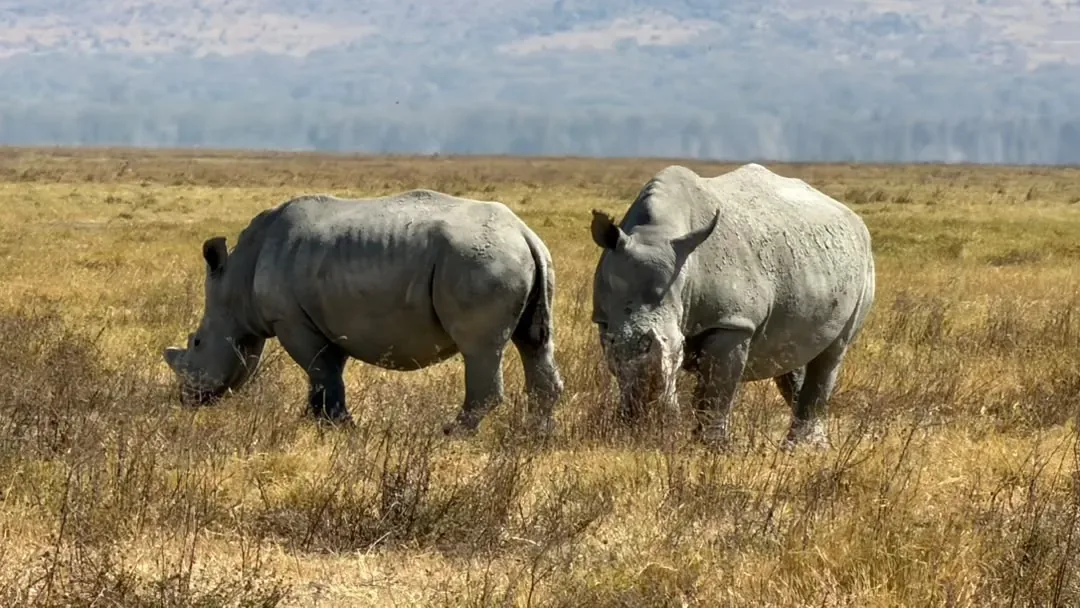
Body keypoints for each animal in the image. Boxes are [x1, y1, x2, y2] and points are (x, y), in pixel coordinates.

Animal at [162, 189, 565, 436]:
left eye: (196, 342)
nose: (187, 399)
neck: (237, 288)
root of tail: (525, 234)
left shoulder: (291, 319)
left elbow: (320, 371)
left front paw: (338, 427)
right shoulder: (323, 320)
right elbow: (329, 372)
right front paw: (320, 422)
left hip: (481, 263)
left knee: (479, 349)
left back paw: (453, 434)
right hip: (519, 260)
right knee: (533, 343)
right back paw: (536, 436)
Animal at [589, 163, 875, 449]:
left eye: (680, 350)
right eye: (612, 344)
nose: (648, 414)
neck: (656, 233)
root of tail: (856, 220)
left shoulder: (732, 321)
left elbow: (717, 391)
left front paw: (710, 448)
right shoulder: (605, 317)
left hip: (865, 263)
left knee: (833, 352)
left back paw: (802, 448)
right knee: (792, 353)